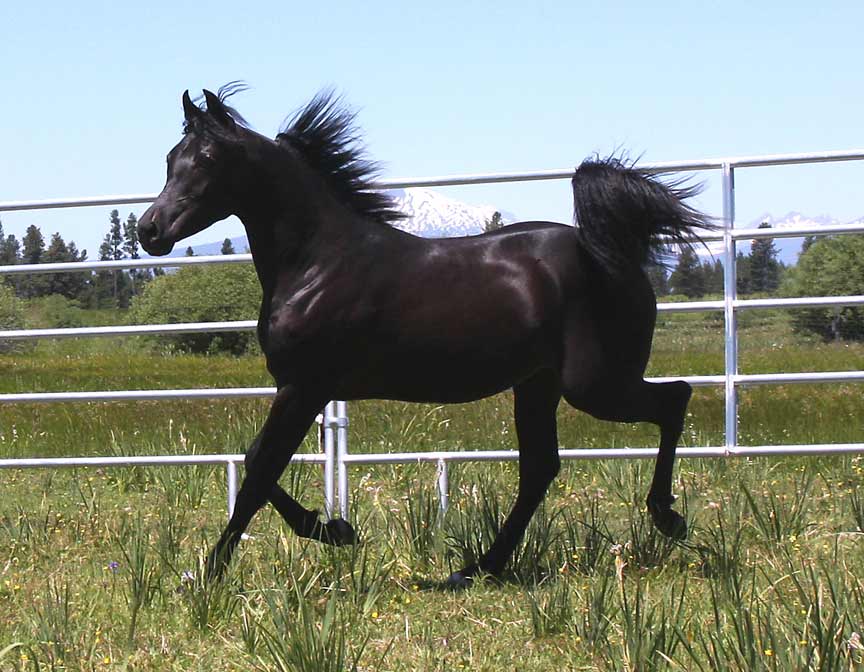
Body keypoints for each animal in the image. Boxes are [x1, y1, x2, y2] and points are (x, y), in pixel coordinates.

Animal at [138, 85, 712, 588]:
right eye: (170, 157)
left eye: (208, 158)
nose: (150, 230)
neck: (317, 263)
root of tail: (613, 255)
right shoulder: (303, 390)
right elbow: (258, 460)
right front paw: (337, 528)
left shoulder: (303, 387)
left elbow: (259, 470)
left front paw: (212, 573)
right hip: (538, 384)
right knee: (540, 468)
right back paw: (478, 569)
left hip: (594, 383)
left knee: (674, 399)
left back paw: (666, 517)